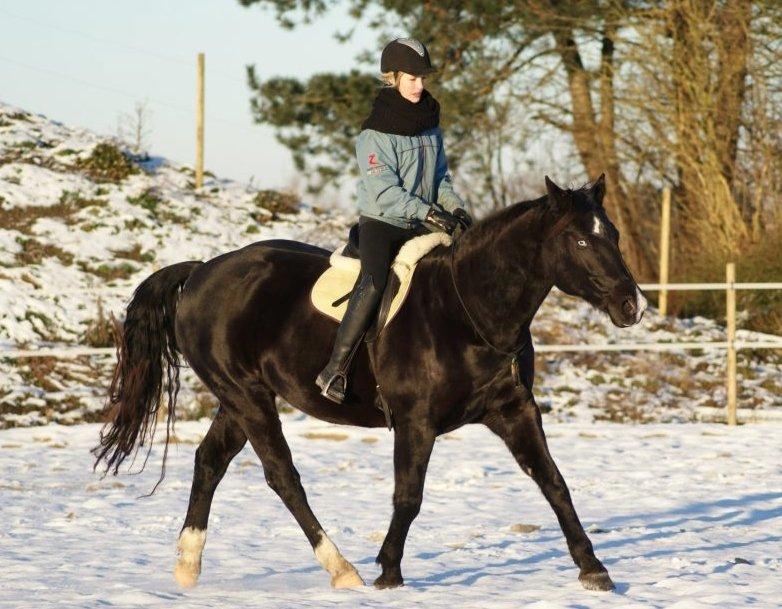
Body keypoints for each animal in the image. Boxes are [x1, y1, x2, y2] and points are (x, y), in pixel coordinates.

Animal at [93, 173, 648, 592]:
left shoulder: (514, 411)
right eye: (580, 239)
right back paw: (343, 571)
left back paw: (187, 567)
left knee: (210, 462)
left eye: (616, 235)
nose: (633, 306)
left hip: (240, 397)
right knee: (283, 477)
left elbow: (554, 483)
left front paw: (593, 569)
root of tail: (202, 271)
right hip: (247, 398)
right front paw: (389, 572)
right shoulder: (415, 421)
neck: (467, 308)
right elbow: (409, 496)